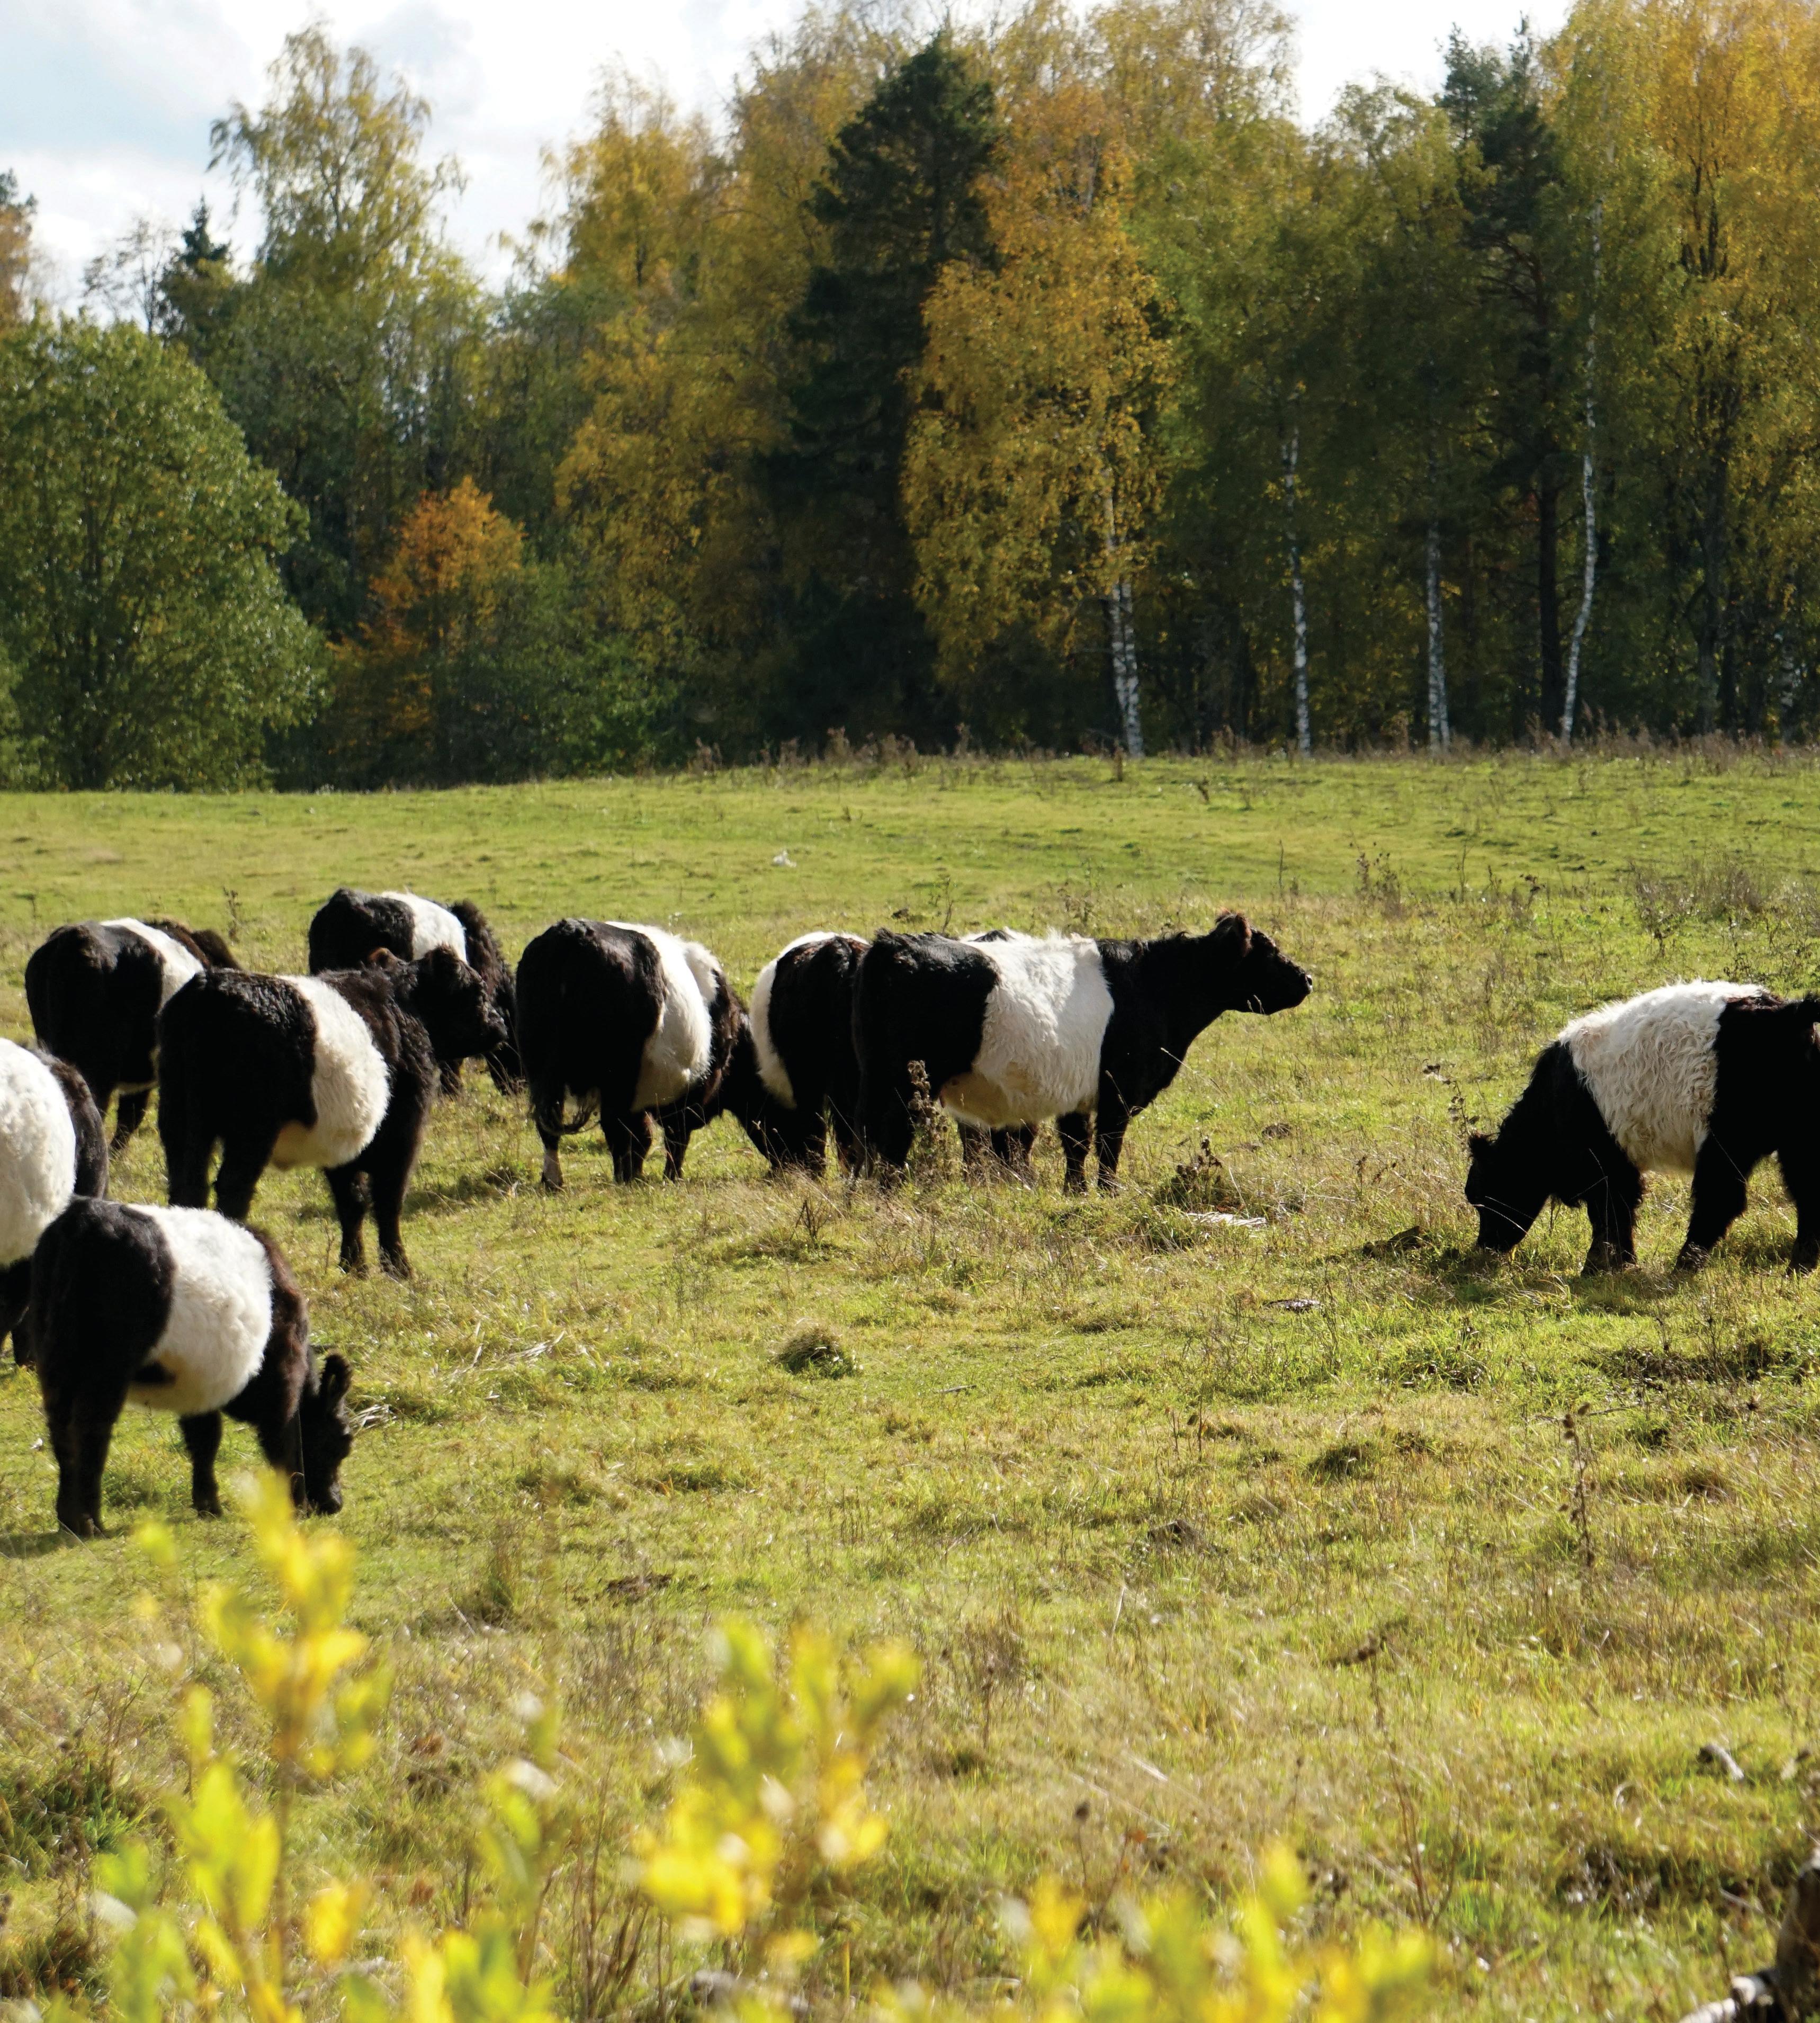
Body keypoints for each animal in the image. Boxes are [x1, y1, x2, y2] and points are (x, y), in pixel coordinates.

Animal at [26, 1197, 352, 1538]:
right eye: (341, 1442)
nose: (334, 1504)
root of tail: (84, 1217)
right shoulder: (283, 1380)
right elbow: (284, 1440)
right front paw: (296, 1506)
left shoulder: (200, 1387)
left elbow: (205, 1440)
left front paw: (208, 1505)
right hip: (106, 1366)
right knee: (91, 1429)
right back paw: (91, 1523)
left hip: (55, 1358)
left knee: (61, 1429)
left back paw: (67, 1519)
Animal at [157, 948, 506, 1279]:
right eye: (476, 992)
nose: (499, 1023)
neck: (406, 1008)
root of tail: (207, 989)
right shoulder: (403, 1132)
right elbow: (389, 1199)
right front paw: (399, 1270)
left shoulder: (344, 1138)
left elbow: (351, 1200)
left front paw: (354, 1267)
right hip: (252, 1131)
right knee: (232, 1188)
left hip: (180, 1123)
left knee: (187, 1186)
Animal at [517, 919, 745, 1187]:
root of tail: (572, 934)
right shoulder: (688, 1095)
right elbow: (672, 1136)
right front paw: (669, 1177)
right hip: (618, 1075)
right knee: (617, 1128)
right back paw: (623, 1178)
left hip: (539, 1068)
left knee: (549, 1126)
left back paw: (554, 1181)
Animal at [854, 916, 1312, 1189]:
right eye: (1268, 952)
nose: (1307, 979)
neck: (1153, 985)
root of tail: (892, 946)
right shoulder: (1119, 1091)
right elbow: (1108, 1148)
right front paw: (1108, 1193)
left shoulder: (1075, 1097)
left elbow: (1075, 1148)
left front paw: (1074, 1194)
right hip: (906, 1086)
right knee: (893, 1141)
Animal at [1466, 980, 1820, 1274]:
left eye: (1486, 1199)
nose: (1485, 1248)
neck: (1553, 1103)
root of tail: (1790, 1013)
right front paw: (1618, 1263)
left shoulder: (1604, 1162)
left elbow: (1611, 1212)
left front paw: (1598, 1267)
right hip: (1798, 1136)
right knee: (1806, 1192)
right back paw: (1800, 1266)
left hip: (1727, 1137)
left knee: (1720, 1198)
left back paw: (1685, 1264)